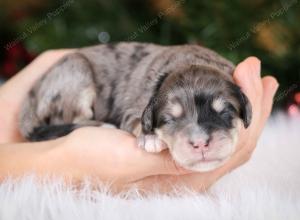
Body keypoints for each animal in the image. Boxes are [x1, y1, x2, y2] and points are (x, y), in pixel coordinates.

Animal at [19, 41, 252, 172]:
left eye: (224, 113)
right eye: (170, 119)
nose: (201, 143)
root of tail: (32, 92)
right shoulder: (134, 110)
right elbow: (139, 123)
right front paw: (152, 139)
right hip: (75, 72)